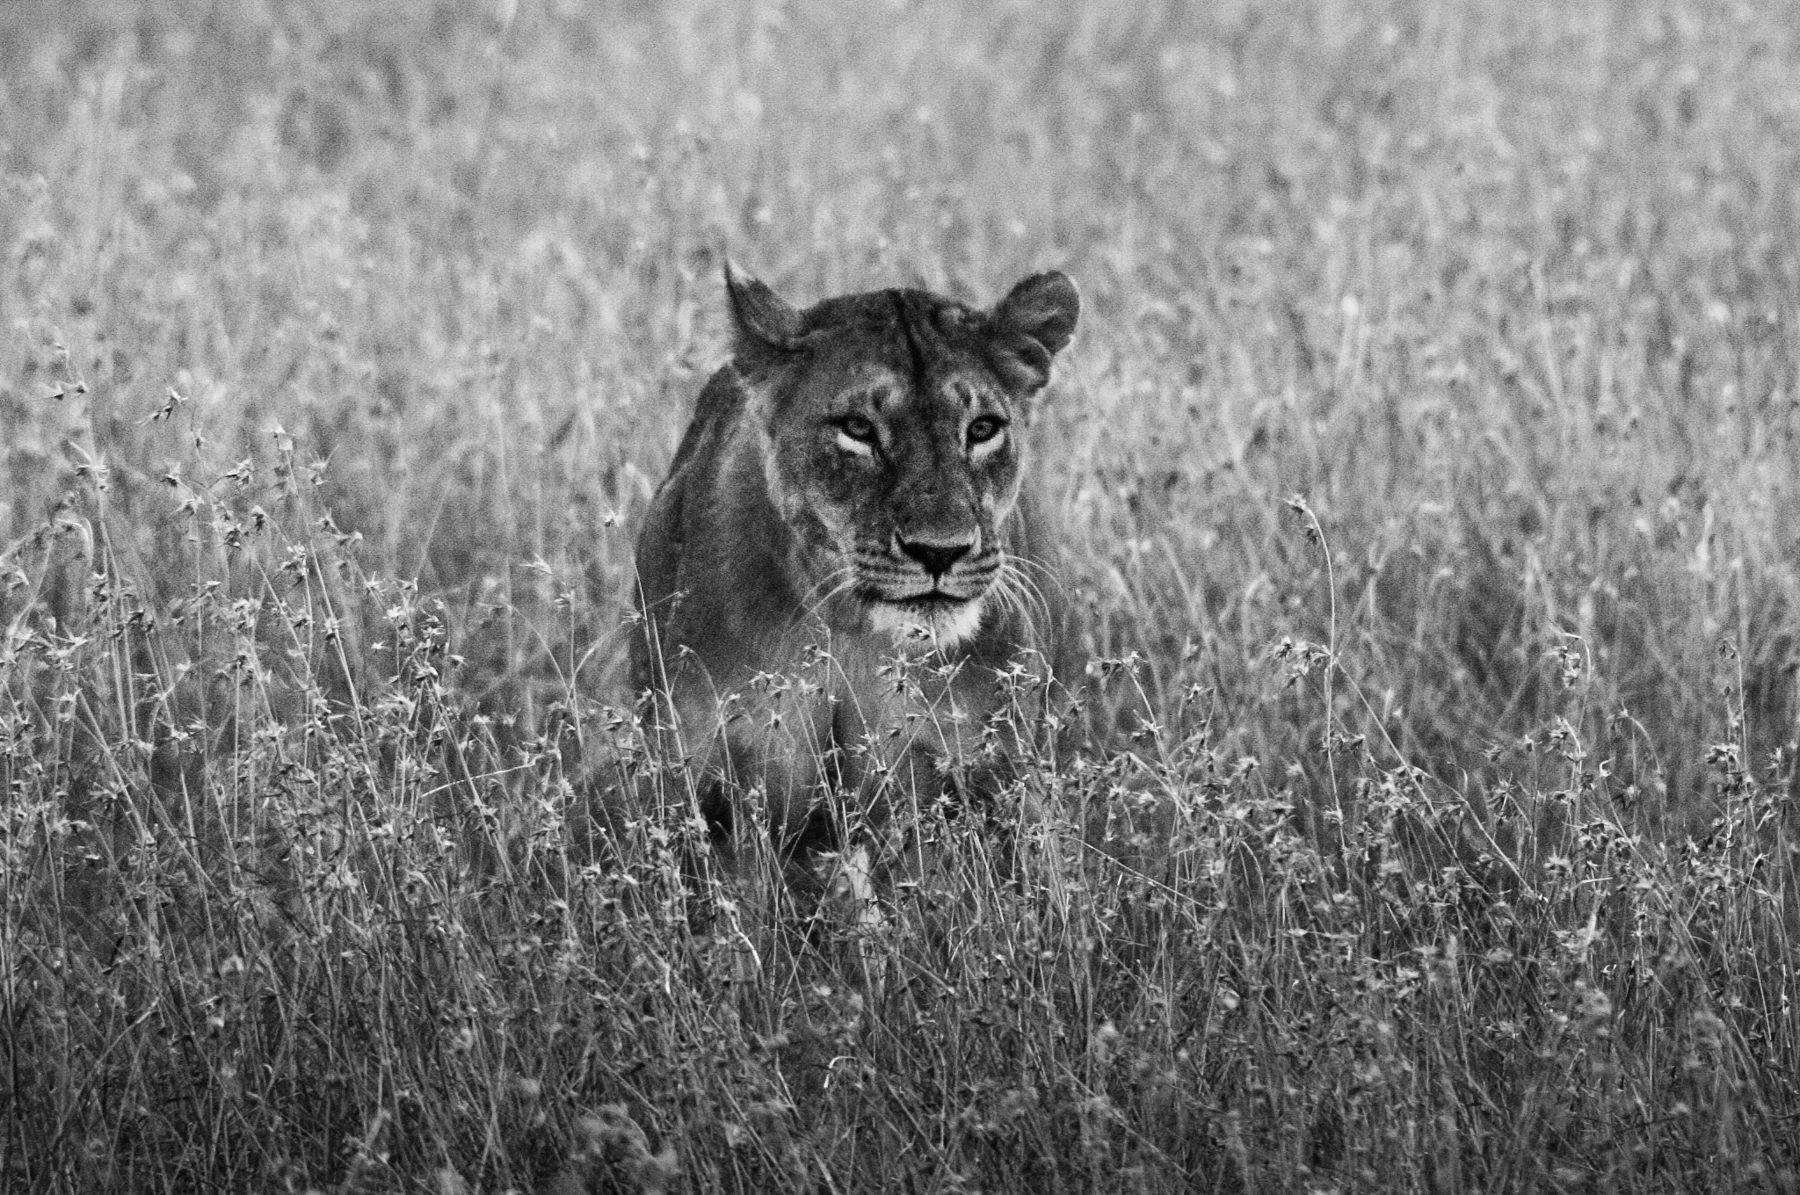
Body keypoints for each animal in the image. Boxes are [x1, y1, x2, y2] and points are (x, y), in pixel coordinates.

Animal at [629, 262, 1081, 900]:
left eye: (984, 428)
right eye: (857, 429)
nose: (939, 551)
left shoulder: (1005, 768)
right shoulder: (708, 778)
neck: (851, 629)